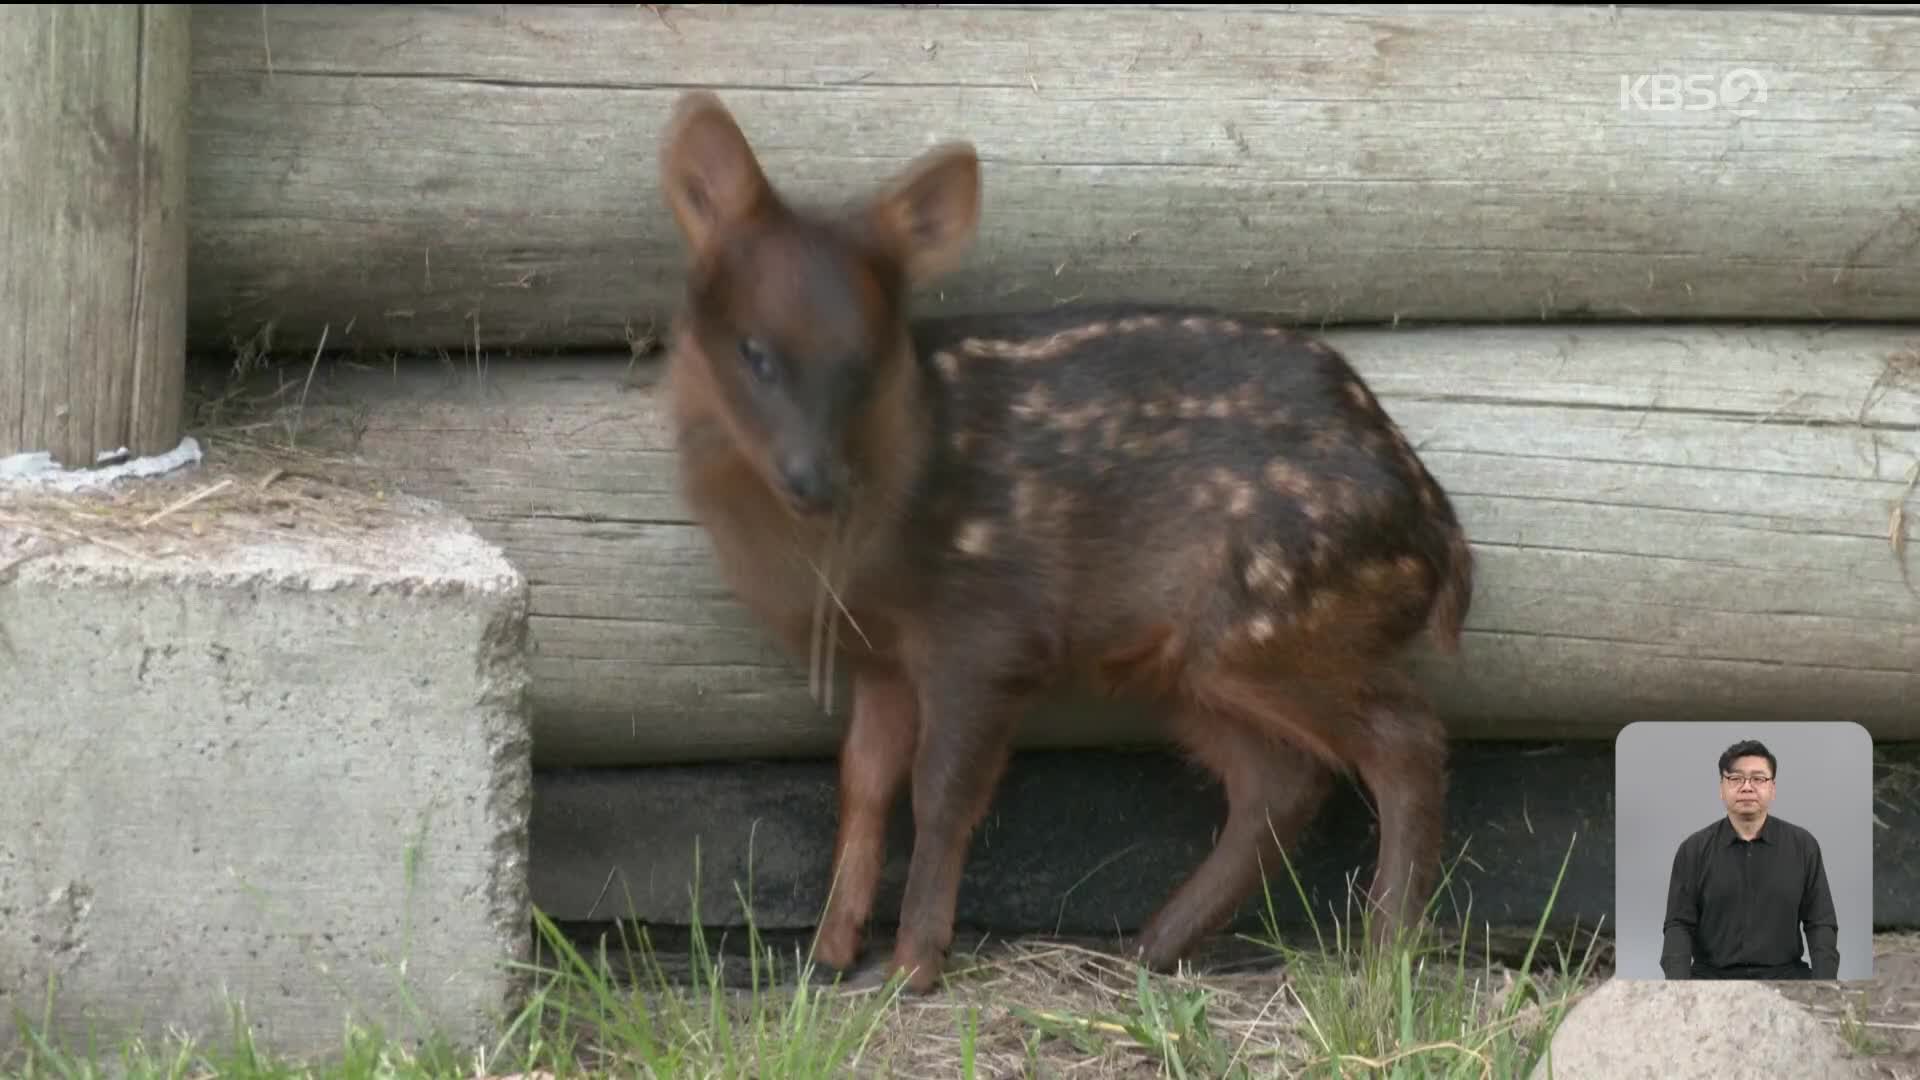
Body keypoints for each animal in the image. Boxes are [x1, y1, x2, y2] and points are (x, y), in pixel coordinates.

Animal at [652, 92, 1474, 991]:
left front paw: (911, 965)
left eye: (867, 358)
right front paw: (829, 953)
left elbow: (942, 792)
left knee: (1404, 738)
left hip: (1277, 617)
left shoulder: (988, 631)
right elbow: (861, 782)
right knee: (1281, 779)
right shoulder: (882, 658)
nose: (813, 479)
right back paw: (1149, 948)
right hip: (1188, 664)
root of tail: (1436, 528)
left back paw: (1384, 956)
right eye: (754, 351)